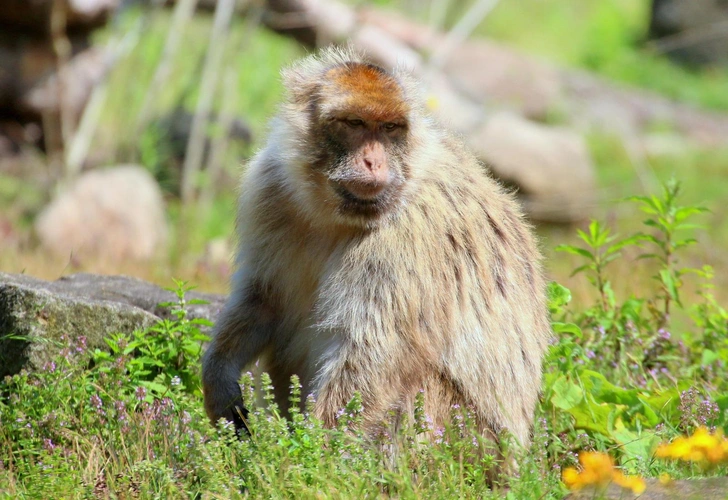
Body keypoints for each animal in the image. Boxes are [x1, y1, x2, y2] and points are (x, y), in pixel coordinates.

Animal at [200, 47, 552, 460]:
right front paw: (219, 381)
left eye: (389, 129)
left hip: (468, 439)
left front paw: (311, 457)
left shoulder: (407, 235)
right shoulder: (268, 189)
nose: (373, 161)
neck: (335, 214)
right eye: (355, 123)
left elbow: (372, 352)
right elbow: (262, 300)